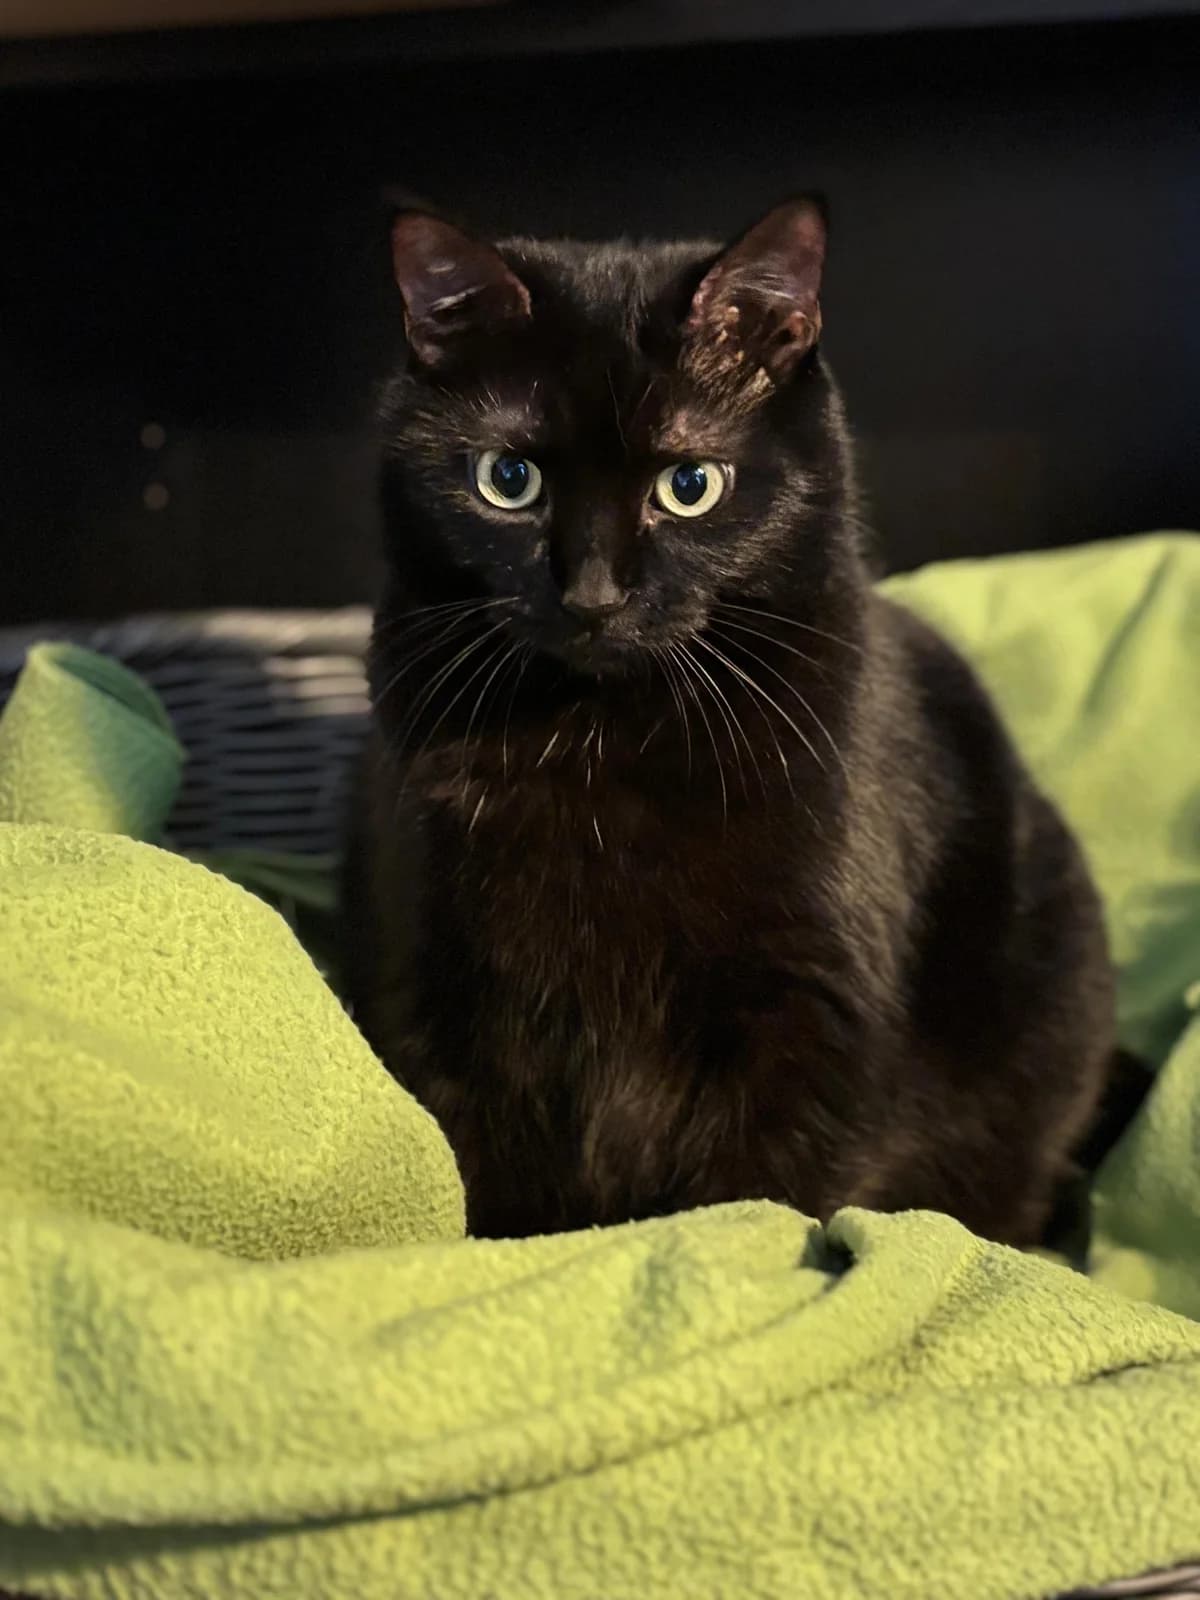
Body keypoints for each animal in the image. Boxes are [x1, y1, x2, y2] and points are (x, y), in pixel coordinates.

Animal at [343, 197, 1116, 1245]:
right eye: (508, 479)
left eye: (690, 485)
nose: (593, 594)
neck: (598, 740)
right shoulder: (435, 987)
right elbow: (481, 1178)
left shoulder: (807, 1005)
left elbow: (758, 1202)